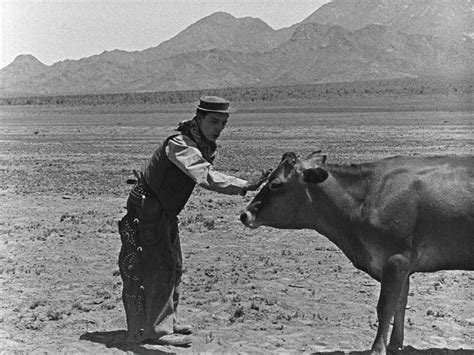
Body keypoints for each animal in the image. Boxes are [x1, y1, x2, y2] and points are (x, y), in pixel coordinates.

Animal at [241, 153, 474, 355]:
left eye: (276, 183)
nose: (245, 214)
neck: (366, 195)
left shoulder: (396, 259)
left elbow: (385, 306)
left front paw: (377, 348)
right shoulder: (401, 265)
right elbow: (399, 303)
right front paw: (395, 343)